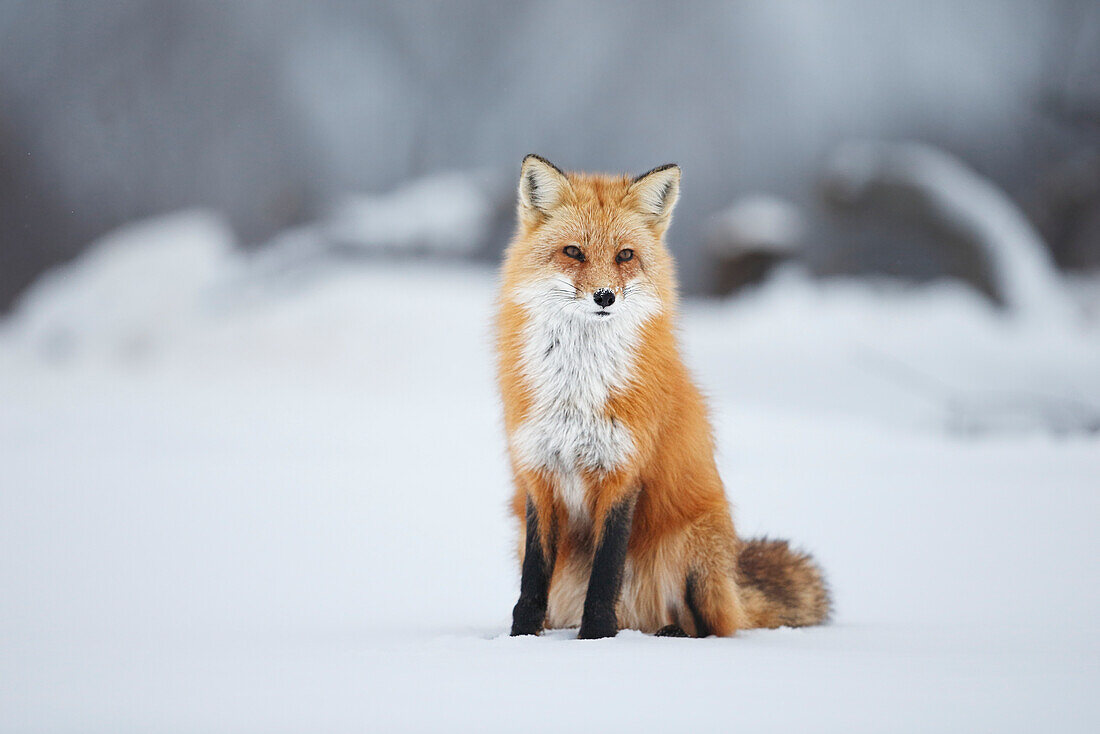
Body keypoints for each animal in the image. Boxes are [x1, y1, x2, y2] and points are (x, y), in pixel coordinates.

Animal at [497, 155, 827, 638]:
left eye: (625, 255)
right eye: (573, 252)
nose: (604, 296)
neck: (579, 391)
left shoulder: (624, 471)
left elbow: (606, 572)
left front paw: (596, 637)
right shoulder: (539, 472)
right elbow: (533, 577)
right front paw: (520, 638)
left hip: (692, 548)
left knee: (713, 626)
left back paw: (670, 634)